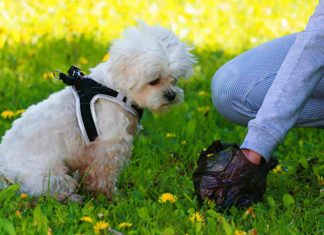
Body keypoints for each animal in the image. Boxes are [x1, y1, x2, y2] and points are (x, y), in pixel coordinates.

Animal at [0, 23, 195, 201]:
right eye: (154, 80)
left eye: (174, 79)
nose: (171, 95)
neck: (116, 89)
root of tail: (5, 171)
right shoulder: (109, 146)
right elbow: (104, 176)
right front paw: (109, 196)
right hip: (49, 173)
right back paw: (73, 198)